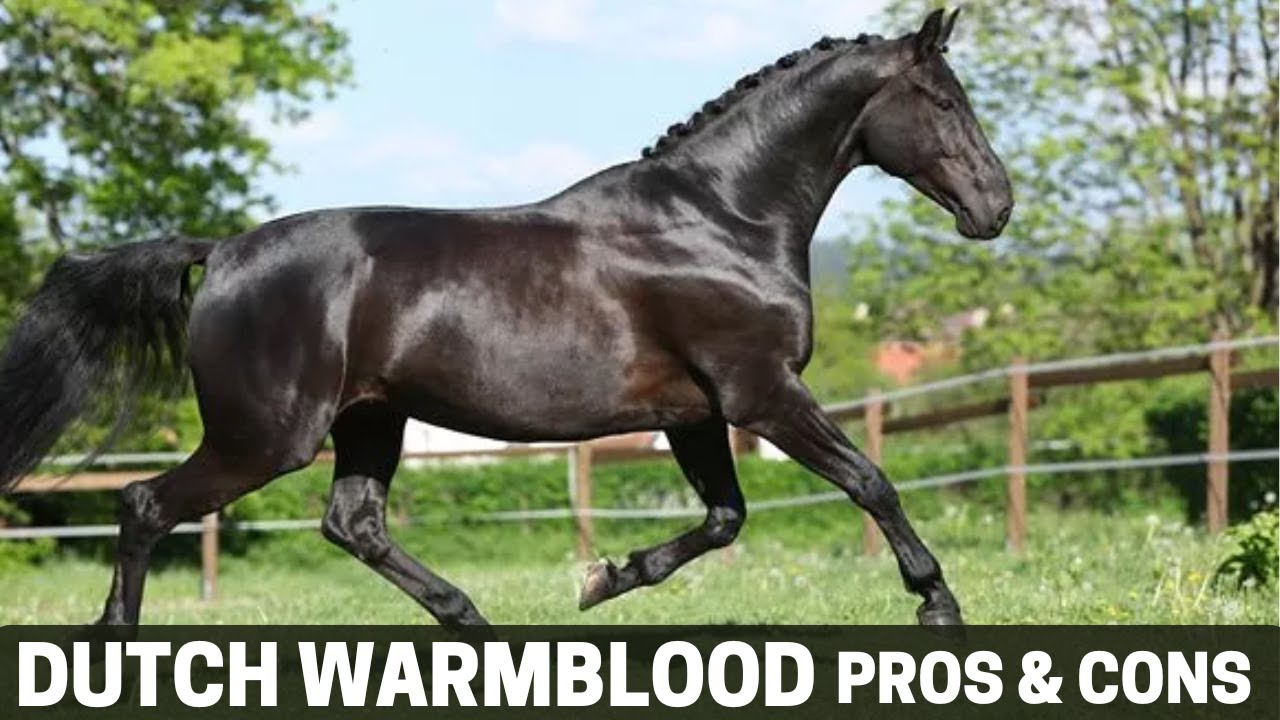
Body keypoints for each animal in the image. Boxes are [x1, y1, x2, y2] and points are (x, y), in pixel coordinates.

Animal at [0, 8, 1010, 629]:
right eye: (944, 100)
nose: (995, 207)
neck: (721, 219)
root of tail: (223, 251)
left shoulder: (695, 412)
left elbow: (725, 519)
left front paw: (603, 579)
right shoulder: (760, 393)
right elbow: (870, 481)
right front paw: (938, 603)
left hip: (369, 420)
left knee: (352, 524)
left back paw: (475, 624)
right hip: (266, 437)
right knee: (145, 506)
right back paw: (118, 639)